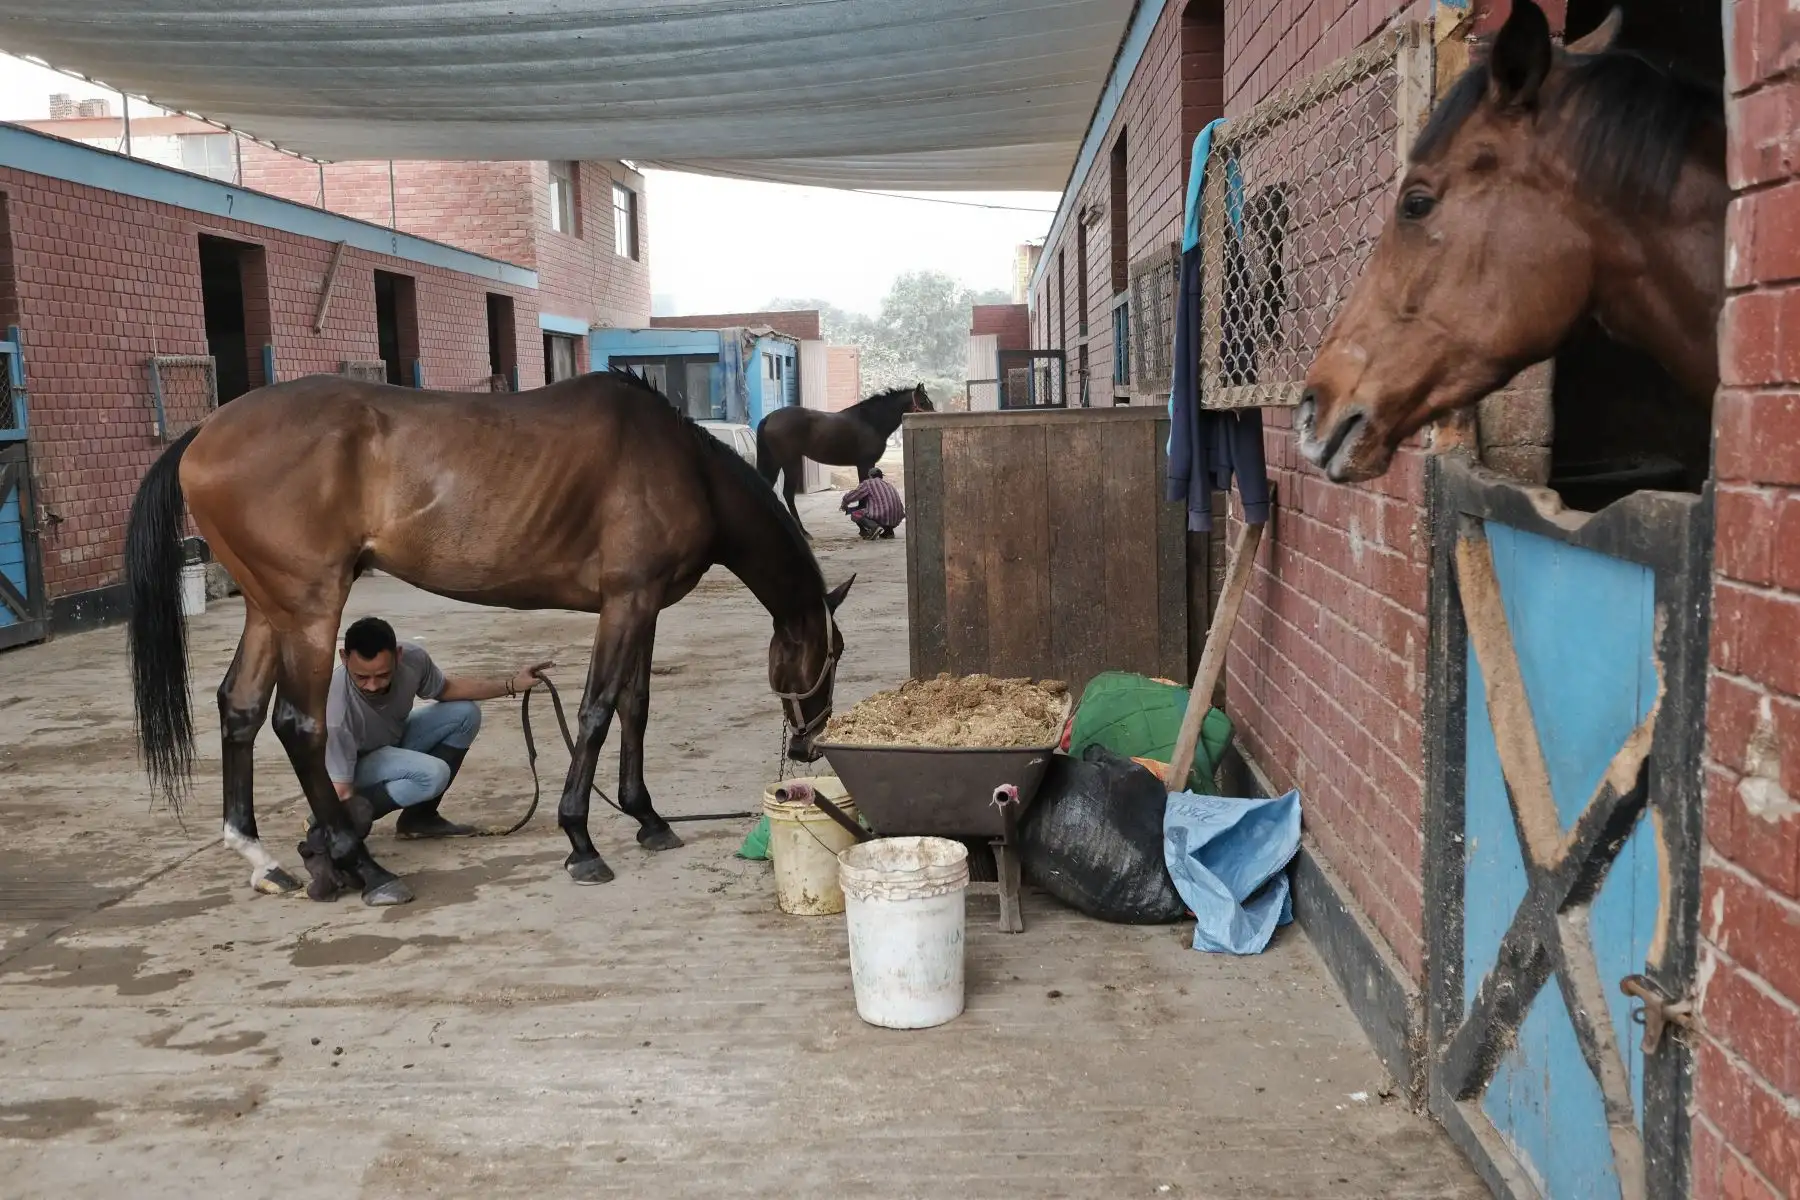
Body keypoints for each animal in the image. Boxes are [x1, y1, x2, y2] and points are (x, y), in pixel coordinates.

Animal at [124, 367, 854, 907]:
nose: (809, 745)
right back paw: (365, 869)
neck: (684, 467)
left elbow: (634, 707)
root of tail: (206, 430)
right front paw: (581, 841)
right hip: (308, 608)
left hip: (267, 607)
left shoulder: (642, 608)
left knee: (240, 707)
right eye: (833, 652)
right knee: (299, 725)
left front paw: (647, 818)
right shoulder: (627, 603)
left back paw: (263, 858)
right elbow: (596, 711)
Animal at [755, 383, 933, 536]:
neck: (870, 421)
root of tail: (769, 417)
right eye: (923, 402)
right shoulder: (864, 464)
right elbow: (863, 499)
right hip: (790, 463)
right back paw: (803, 532)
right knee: (788, 494)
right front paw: (864, 528)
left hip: (775, 463)